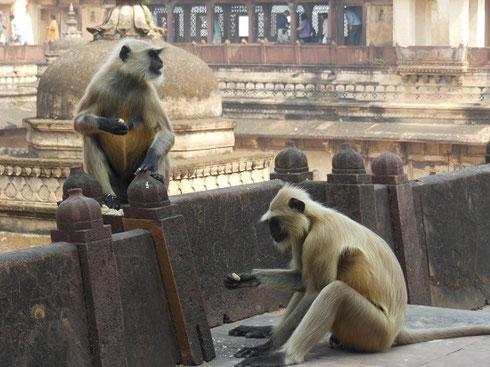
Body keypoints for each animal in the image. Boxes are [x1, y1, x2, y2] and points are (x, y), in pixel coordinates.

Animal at [73, 39, 175, 210]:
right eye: (152, 55)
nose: (161, 62)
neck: (127, 79)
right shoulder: (98, 85)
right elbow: (78, 122)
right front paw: (110, 125)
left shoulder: (147, 90)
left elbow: (165, 131)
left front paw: (150, 161)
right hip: (117, 184)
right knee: (89, 137)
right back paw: (109, 197)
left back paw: (157, 177)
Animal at [225, 187, 490, 367]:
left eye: (275, 222)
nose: (272, 232)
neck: (315, 218)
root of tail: (396, 330)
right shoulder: (303, 238)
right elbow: (302, 280)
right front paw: (248, 279)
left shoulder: (320, 238)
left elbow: (314, 292)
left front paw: (266, 348)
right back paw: (267, 329)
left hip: (374, 330)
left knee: (334, 291)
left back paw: (283, 356)